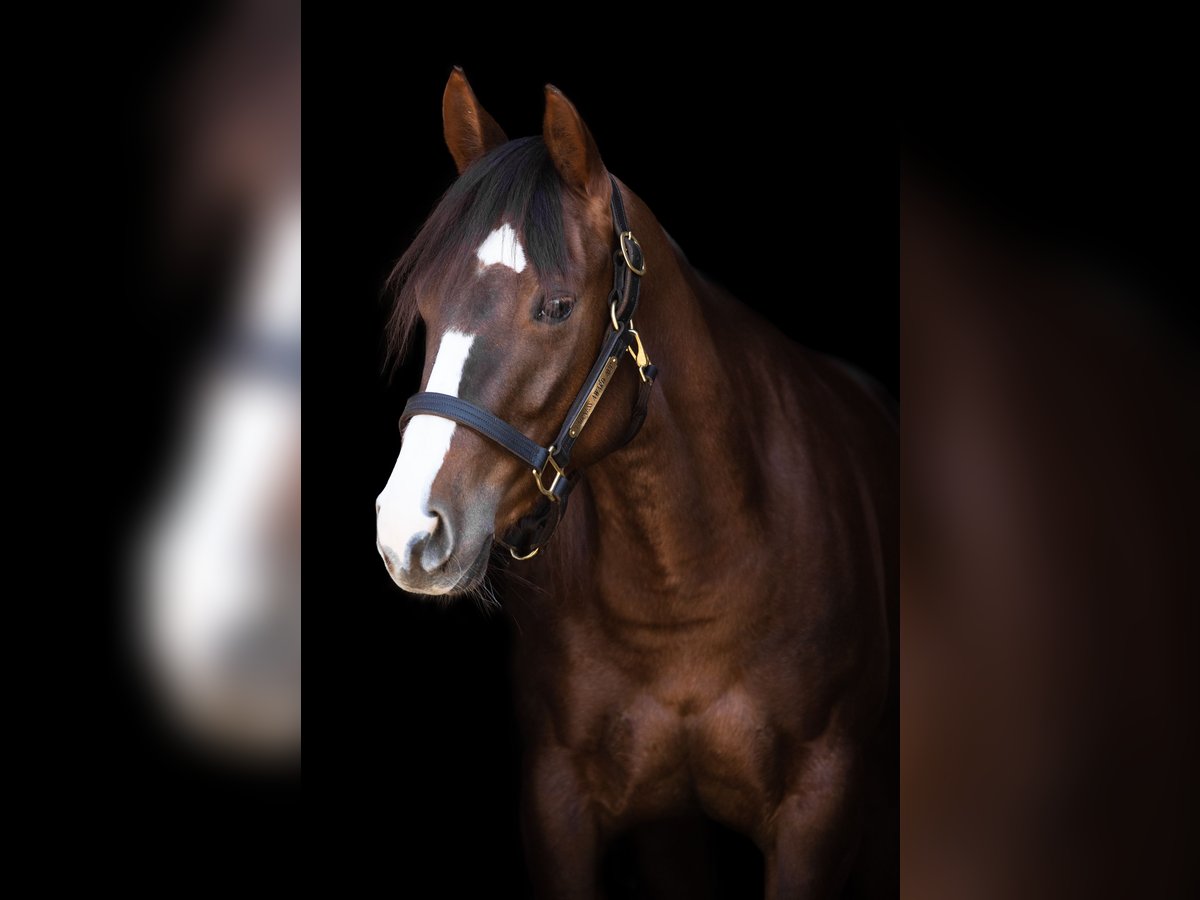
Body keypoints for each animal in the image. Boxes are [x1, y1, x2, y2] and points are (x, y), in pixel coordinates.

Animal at [376, 68, 896, 898]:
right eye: (424, 306)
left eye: (557, 306)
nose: (408, 531)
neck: (687, 586)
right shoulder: (561, 806)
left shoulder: (822, 810)